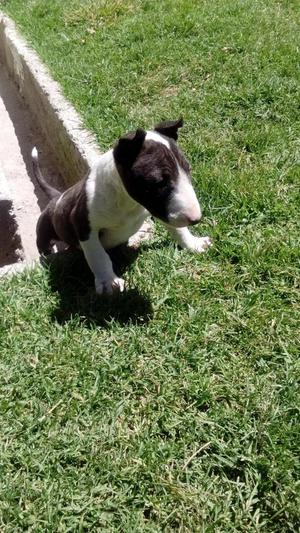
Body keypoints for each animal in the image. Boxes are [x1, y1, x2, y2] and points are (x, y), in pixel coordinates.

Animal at [32, 119, 211, 296]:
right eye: (158, 182)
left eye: (188, 169)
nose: (195, 219)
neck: (127, 203)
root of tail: (56, 197)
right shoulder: (83, 224)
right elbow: (98, 255)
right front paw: (108, 281)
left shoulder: (160, 210)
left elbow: (178, 230)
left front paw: (194, 244)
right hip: (44, 230)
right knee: (44, 245)